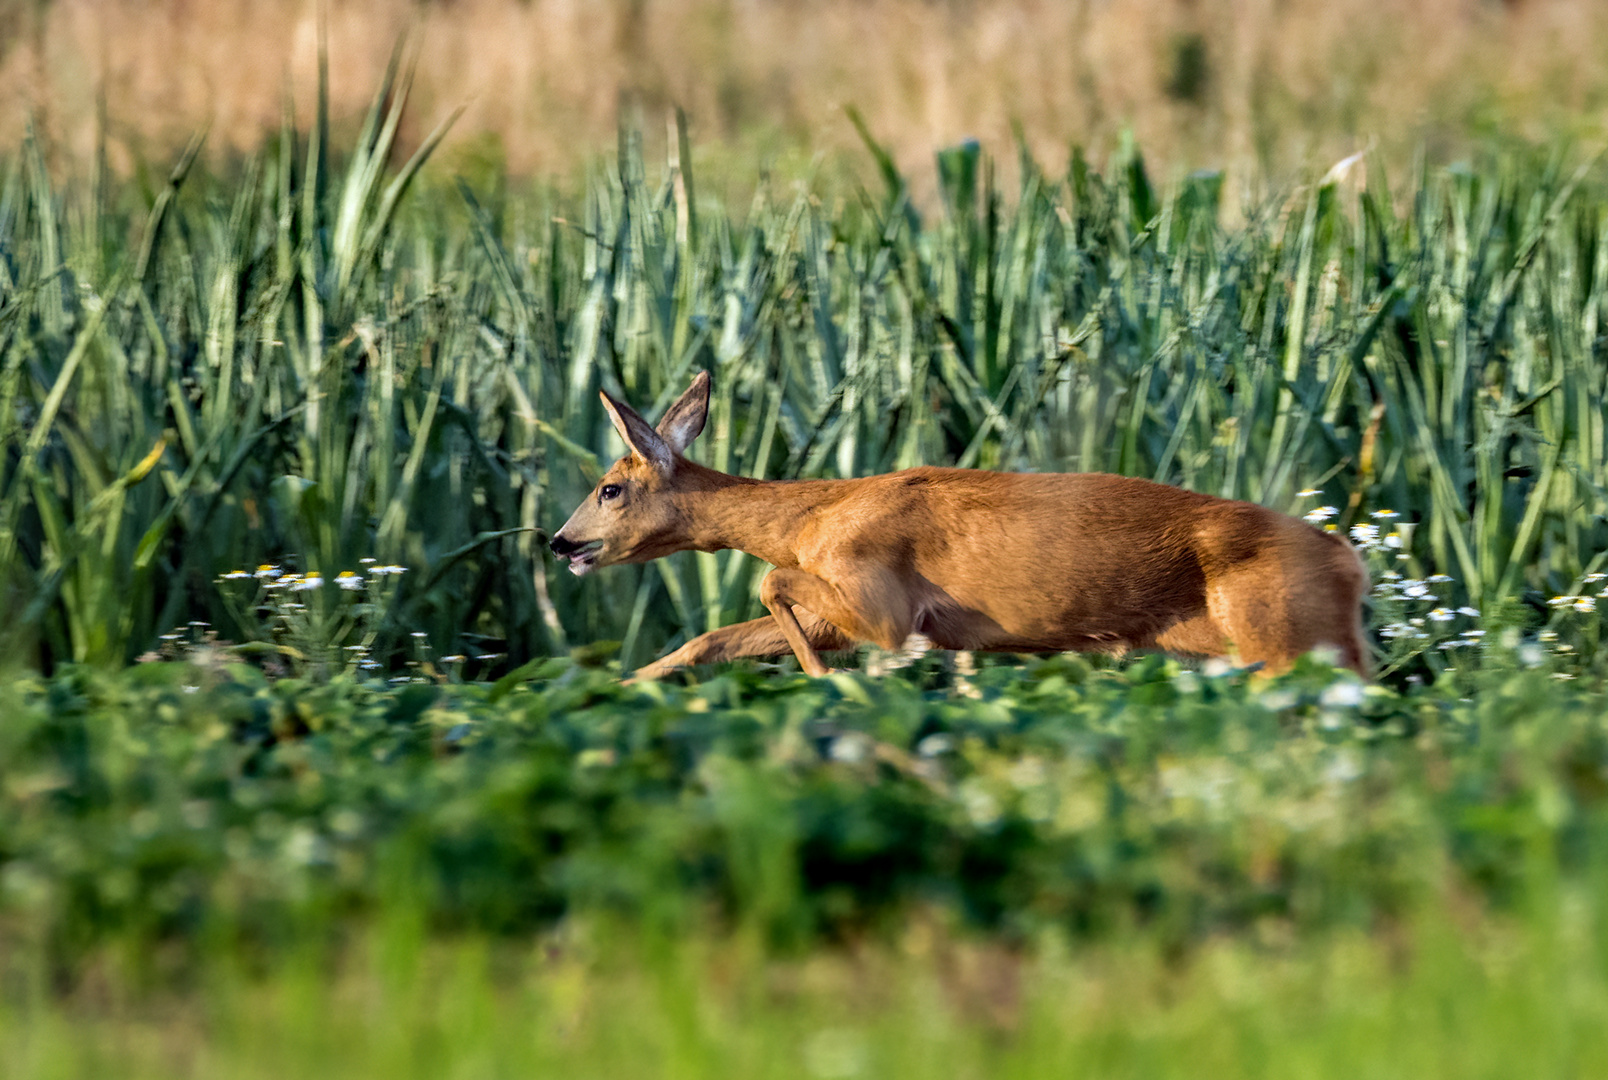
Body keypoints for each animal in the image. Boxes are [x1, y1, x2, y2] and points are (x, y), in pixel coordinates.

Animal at [553, 371, 1370, 675]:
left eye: (609, 489)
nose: (560, 543)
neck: (814, 517)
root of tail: (1351, 560)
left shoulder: (881, 601)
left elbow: (768, 581)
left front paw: (828, 683)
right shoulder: (841, 608)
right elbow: (709, 638)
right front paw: (627, 691)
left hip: (1284, 634)